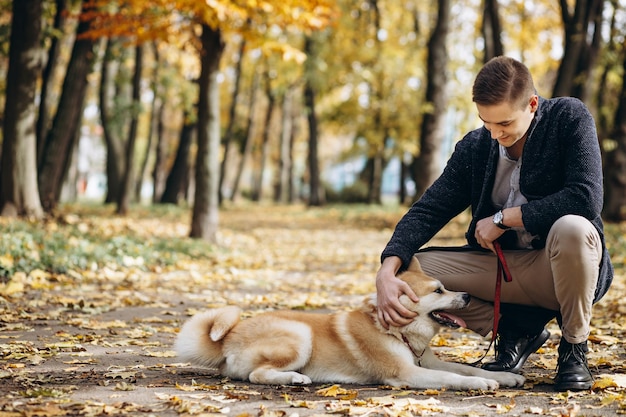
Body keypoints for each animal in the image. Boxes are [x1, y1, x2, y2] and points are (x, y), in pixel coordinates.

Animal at [174, 256, 520, 390]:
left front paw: (505, 377)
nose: (466, 296)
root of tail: (228, 337)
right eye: (438, 291)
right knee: (257, 375)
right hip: (300, 336)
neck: (396, 332)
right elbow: (455, 377)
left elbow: (469, 369)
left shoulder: (427, 362)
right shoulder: (406, 373)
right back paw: (295, 378)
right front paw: (481, 384)